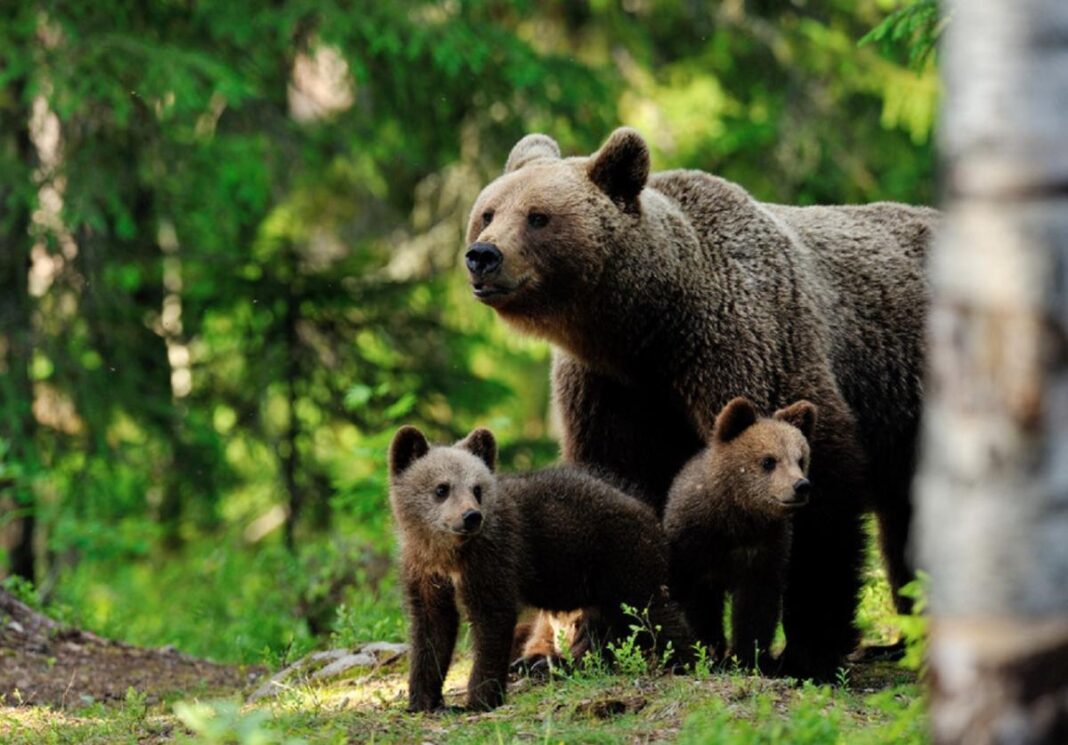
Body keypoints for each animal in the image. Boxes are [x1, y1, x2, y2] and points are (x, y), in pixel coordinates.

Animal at [459, 129, 935, 678]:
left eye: (538, 216)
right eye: (489, 211)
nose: (482, 255)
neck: (646, 331)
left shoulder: (746, 346)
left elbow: (820, 499)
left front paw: (808, 650)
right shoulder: (611, 393)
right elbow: (616, 493)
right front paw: (597, 642)